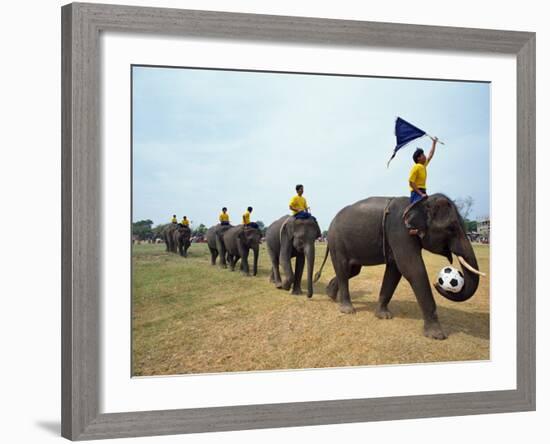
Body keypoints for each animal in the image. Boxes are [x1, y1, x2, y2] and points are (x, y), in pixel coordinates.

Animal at [316, 194, 486, 340]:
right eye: (451, 228)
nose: (438, 283)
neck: (420, 202)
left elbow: (395, 270)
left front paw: (383, 316)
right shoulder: (400, 232)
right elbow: (412, 269)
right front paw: (437, 335)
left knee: (352, 271)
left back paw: (330, 294)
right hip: (337, 242)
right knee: (343, 269)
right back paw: (347, 310)